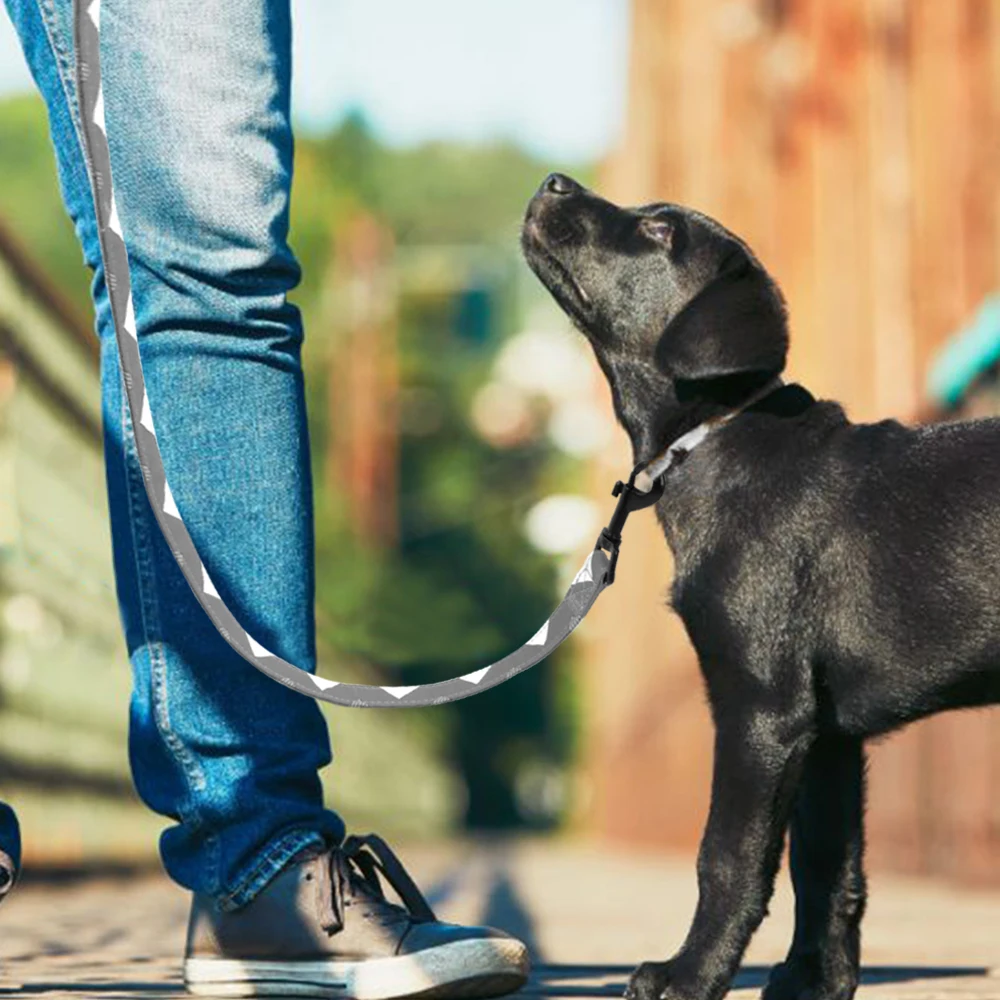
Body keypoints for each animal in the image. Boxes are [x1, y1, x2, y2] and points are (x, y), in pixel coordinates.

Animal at [520, 176, 1000, 1000]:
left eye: (658, 231)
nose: (553, 181)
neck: (713, 439)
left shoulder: (761, 707)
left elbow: (728, 857)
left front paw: (689, 974)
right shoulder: (828, 732)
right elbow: (826, 866)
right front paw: (813, 980)